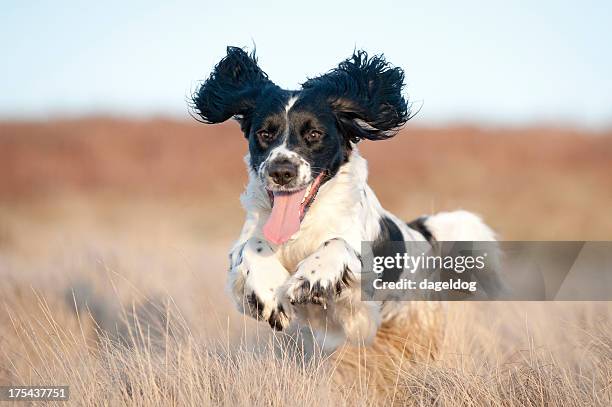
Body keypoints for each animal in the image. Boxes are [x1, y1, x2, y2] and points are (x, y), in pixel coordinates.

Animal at [191, 47, 498, 354]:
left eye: (314, 133)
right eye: (264, 133)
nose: (281, 171)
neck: (303, 225)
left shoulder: (361, 292)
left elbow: (338, 244)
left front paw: (308, 279)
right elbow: (250, 246)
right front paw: (270, 294)